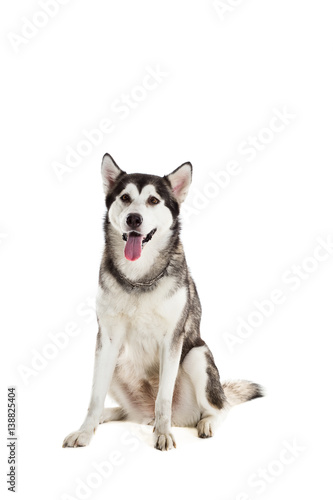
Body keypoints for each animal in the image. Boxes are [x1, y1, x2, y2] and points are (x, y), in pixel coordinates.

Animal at [62, 152, 262, 450]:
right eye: (125, 197)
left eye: (154, 200)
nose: (133, 219)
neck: (139, 278)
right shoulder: (107, 339)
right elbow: (95, 396)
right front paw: (85, 431)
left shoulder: (173, 339)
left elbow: (164, 398)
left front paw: (164, 434)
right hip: (114, 360)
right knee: (125, 410)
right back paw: (109, 416)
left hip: (197, 356)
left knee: (220, 407)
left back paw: (204, 423)